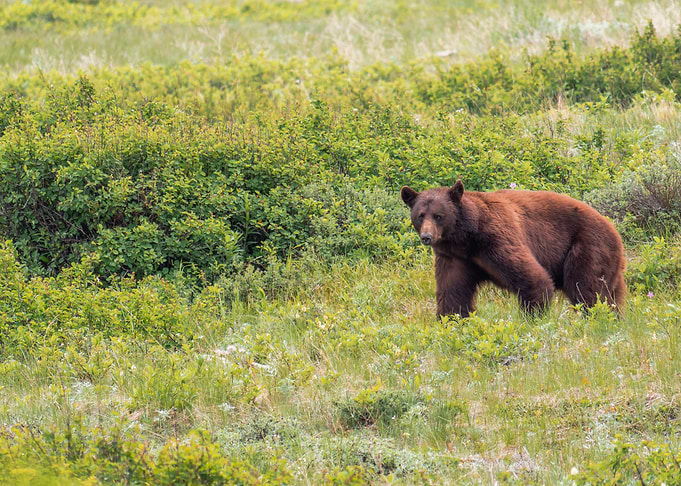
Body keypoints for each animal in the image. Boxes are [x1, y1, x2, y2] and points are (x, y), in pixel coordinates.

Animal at [401, 180, 626, 318]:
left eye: (438, 215)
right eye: (420, 215)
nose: (427, 237)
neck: (466, 238)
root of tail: (615, 231)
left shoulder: (497, 239)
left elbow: (533, 278)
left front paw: (533, 318)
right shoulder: (455, 258)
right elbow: (452, 293)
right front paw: (452, 321)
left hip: (588, 246)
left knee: (586, 289)